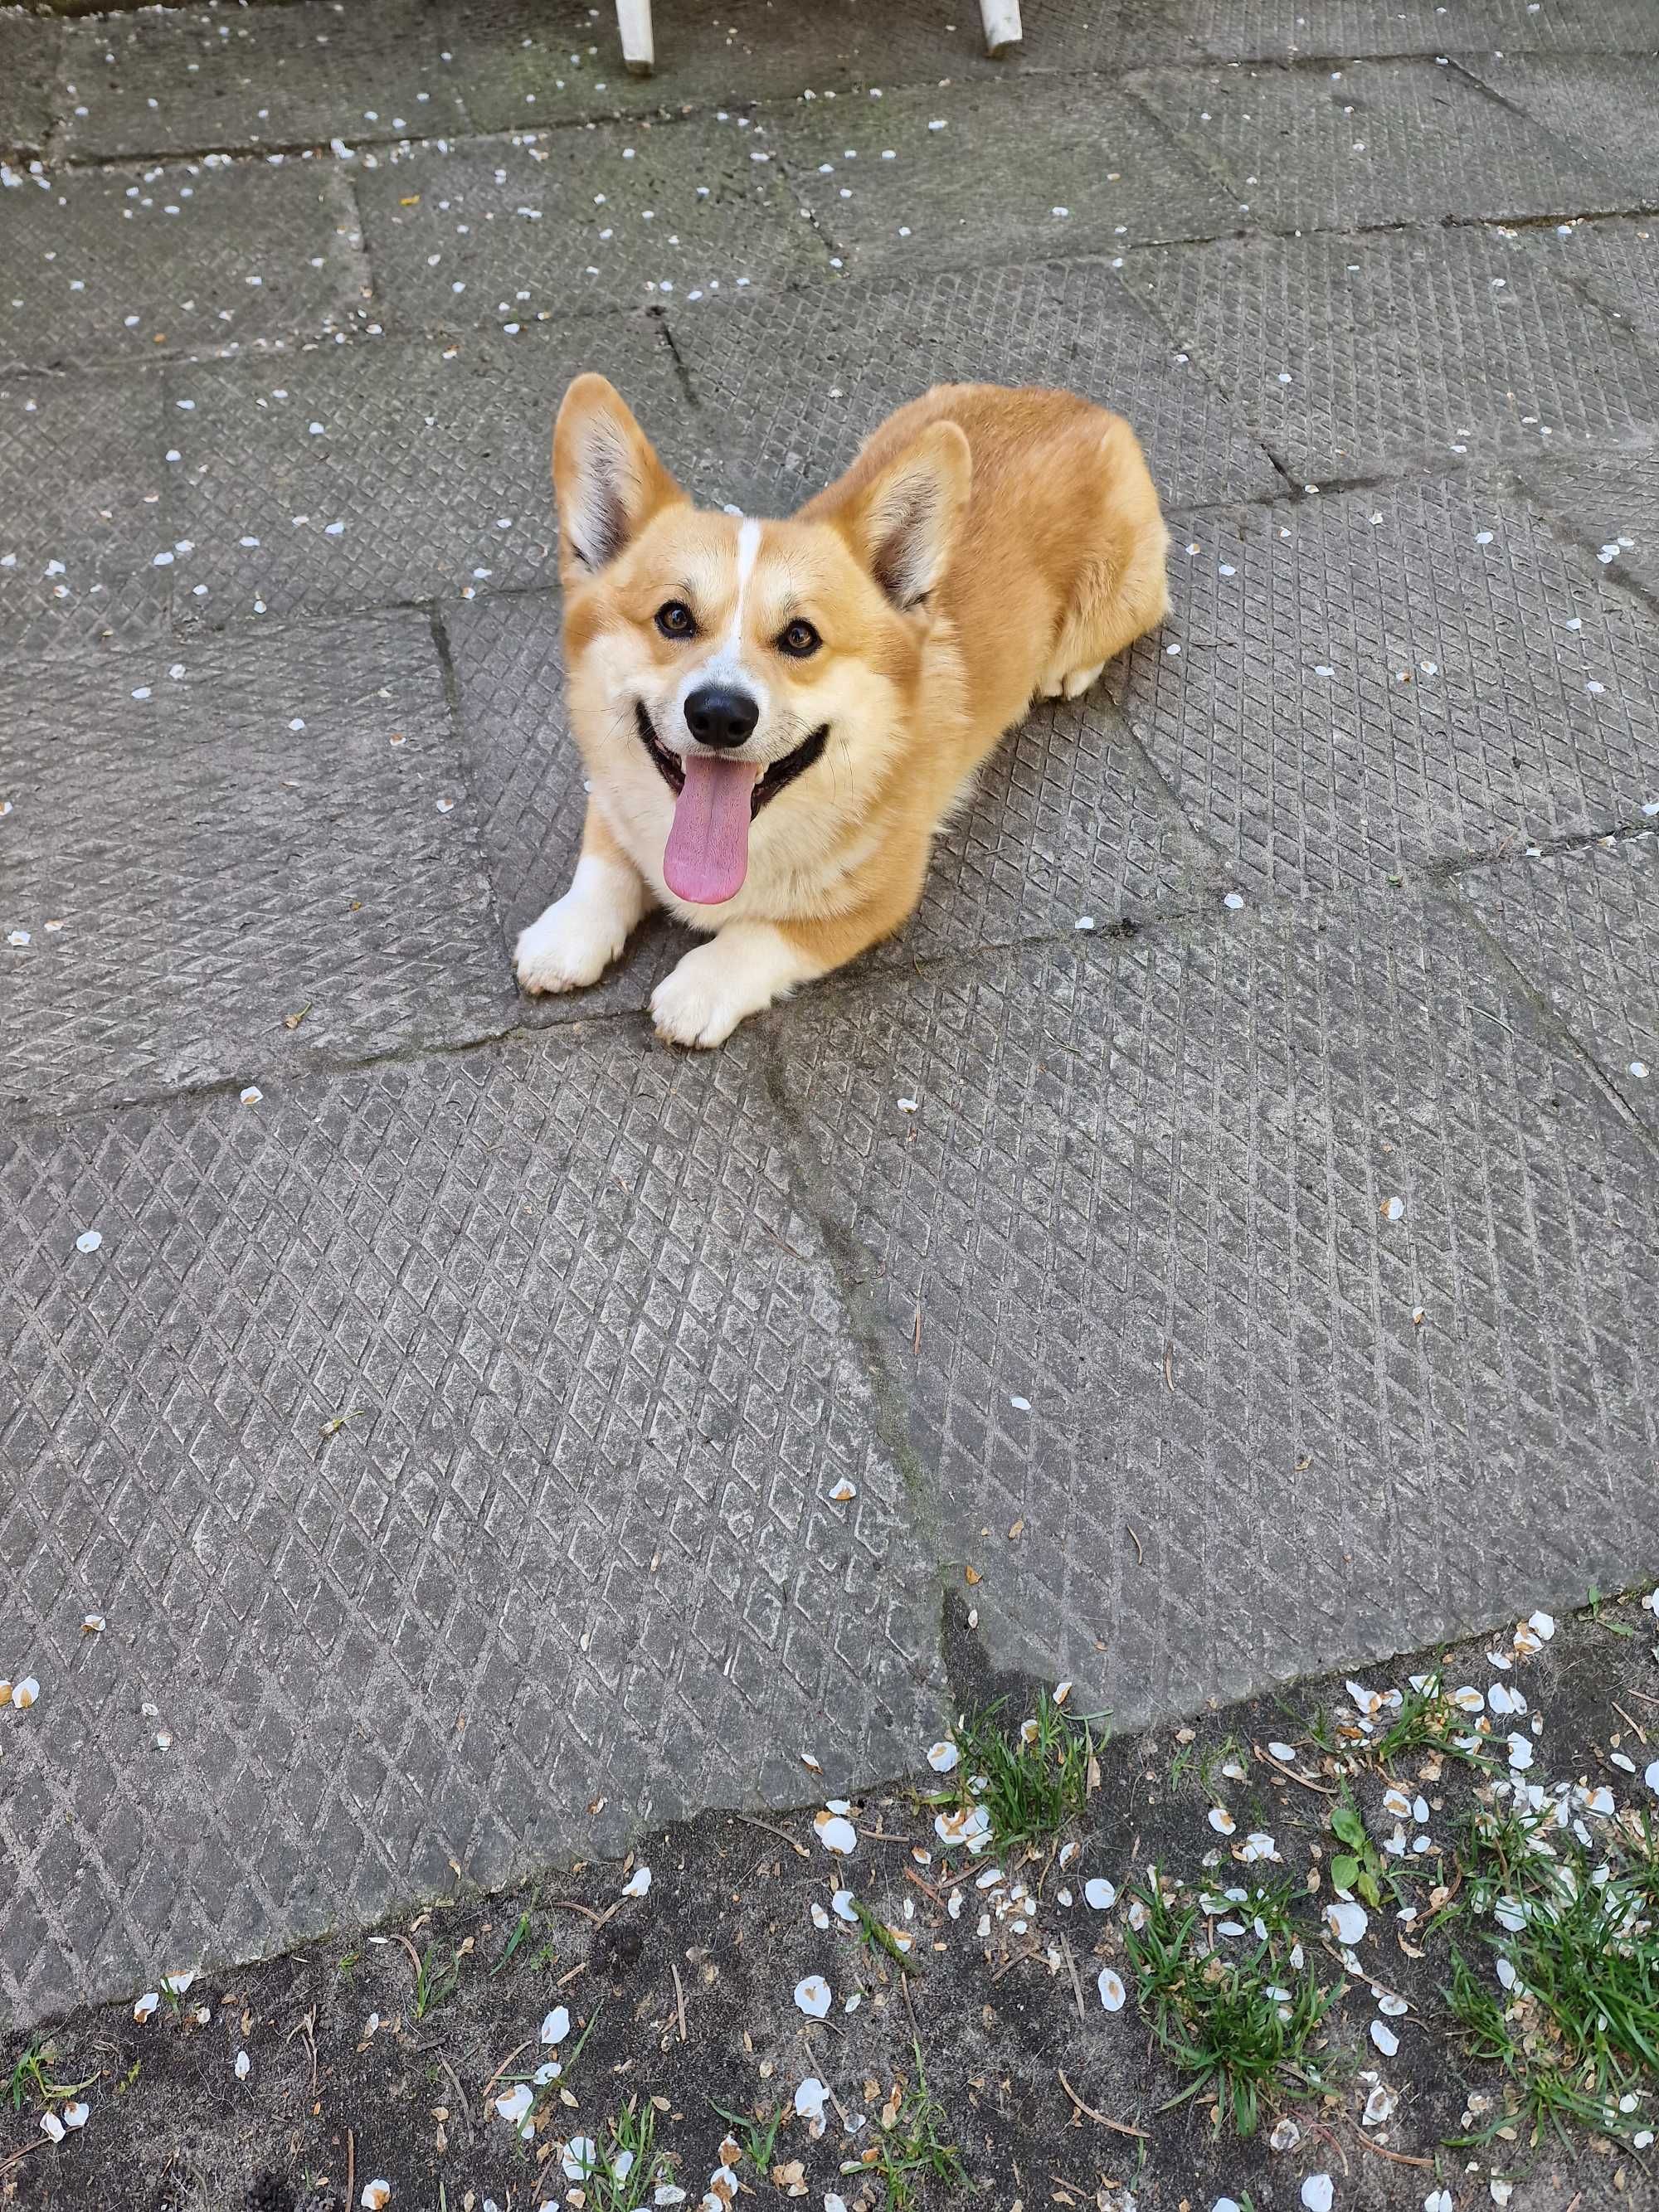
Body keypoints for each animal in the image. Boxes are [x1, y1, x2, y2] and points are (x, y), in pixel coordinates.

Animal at [513, 372, 1176, 1043]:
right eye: (674, 617)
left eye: (800, 637)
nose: (720, 716)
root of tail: (1077, 405)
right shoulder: (610, 795)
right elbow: (604, 864)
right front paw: (566, 935)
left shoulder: (881, 896)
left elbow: (760, 936)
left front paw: (698, 990)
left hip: (1115, 598)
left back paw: (1070, 670)